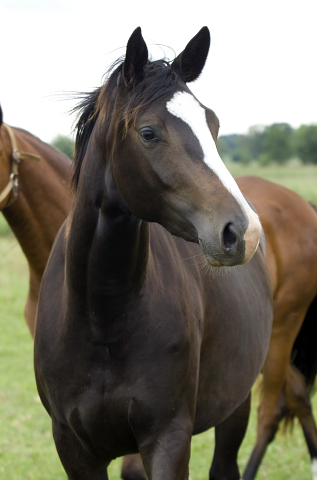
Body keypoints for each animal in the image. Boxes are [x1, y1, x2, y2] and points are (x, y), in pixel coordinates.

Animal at [34, 27, 272, 480]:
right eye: (148, 133)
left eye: (213, 124)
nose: (244, 232)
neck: (102, 316)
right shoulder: (72, 445)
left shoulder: (168, 438)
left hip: (236, 406)